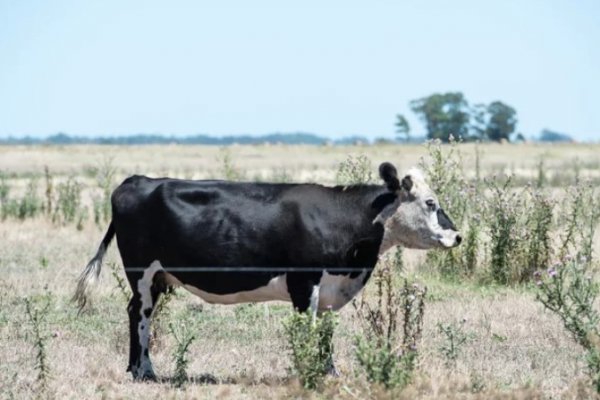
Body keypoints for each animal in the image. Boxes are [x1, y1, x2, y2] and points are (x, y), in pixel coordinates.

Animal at [74, 161, 460, 380]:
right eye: (431, 203)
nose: (457, 236)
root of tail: (136, 180)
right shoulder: (304, 281)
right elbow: (307, 330)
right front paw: (308, 371)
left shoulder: (328, 289)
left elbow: (326, 334)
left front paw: (330, 373)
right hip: (140, 271)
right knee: (139, 314)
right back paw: (144, 371)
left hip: (156, 277)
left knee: (138, 312)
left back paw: (139, 369)